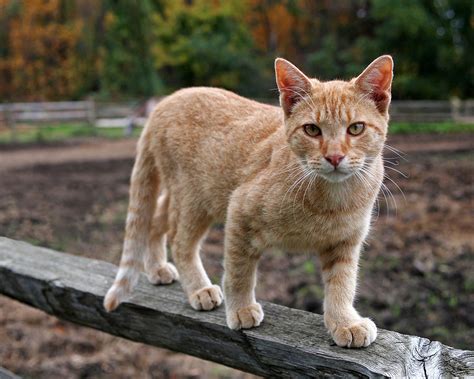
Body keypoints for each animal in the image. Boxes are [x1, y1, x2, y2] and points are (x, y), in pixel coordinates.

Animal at [105, 55, 394, 348]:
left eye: (356, 128)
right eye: (312, 130)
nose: (334, 157)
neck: (333, 199)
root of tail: (166, 101)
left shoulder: (345, 242)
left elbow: (342, 285)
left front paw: (345, 322)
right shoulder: (239, 211)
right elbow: (238, 272)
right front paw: (241, 309)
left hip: (186, 197)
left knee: (154, 221)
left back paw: (157, 268)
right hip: (193, 198)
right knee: (179, 240)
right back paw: (199, 288)